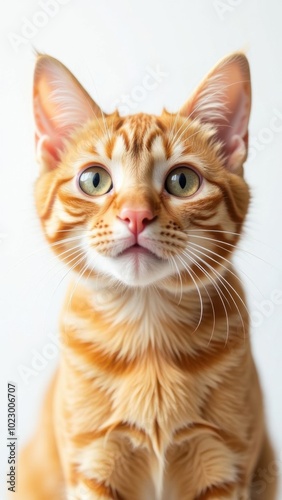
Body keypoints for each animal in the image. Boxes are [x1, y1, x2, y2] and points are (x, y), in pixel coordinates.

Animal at [14, 52, 276, 498]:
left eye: (182, 181)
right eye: (94, 179)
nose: (135, 215)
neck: (148, 331)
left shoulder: (226, 465)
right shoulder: (92, 464)